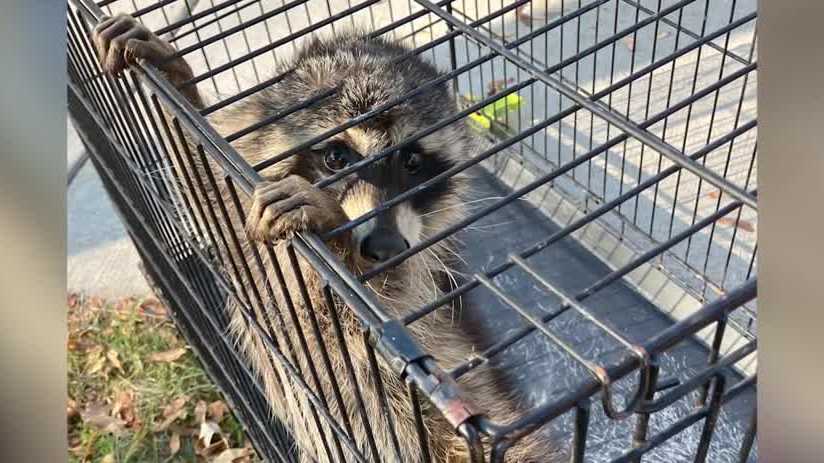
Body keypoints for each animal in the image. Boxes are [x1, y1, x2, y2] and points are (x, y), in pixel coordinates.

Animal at [92, 13, 563, 462]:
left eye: (412, 162)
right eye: (337, 157)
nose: (384, 246)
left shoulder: (420, 285)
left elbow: (370, 315)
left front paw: (336, 236)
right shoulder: (245, 236)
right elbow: (206, 181)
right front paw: (178, 83)